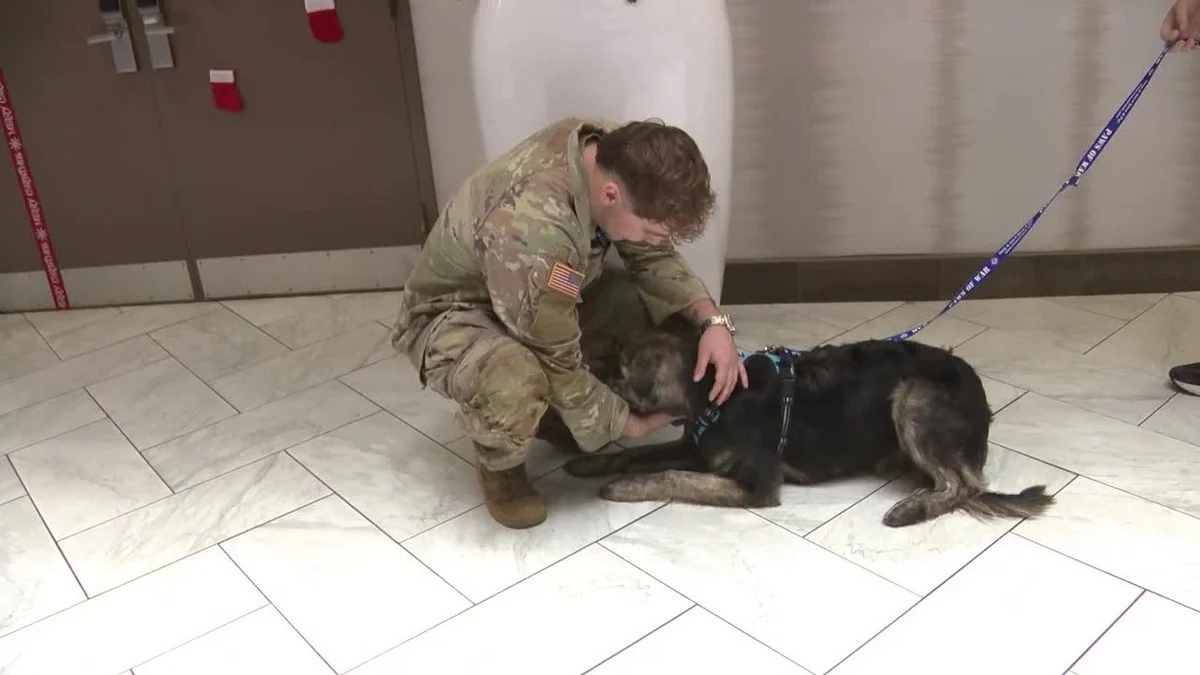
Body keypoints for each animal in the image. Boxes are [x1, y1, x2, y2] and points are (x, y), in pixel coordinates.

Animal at [566, 331, 1056, 526]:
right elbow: (637, 453)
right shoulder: (695, 448)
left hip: (914, 395)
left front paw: (624, 486)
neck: (712, 394)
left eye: (620, 372)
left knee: (961, 485)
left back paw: (911, 509)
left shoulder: (758, 485)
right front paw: (593, 464)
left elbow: (672, 476)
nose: (592, 377)